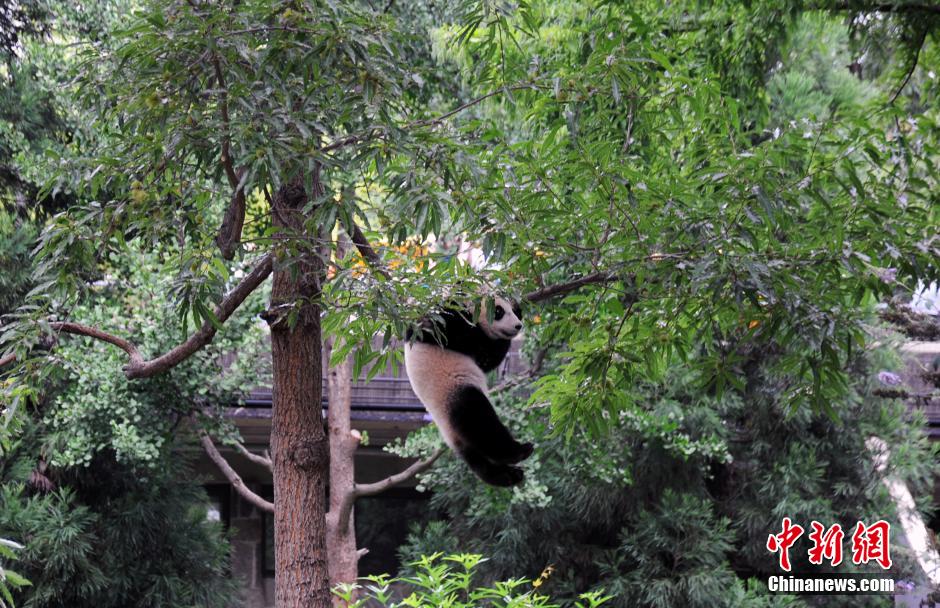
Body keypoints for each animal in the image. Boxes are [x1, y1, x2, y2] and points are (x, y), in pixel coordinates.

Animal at [406, 296, 536, 486]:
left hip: (459, 436)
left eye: (510, 310)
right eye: (499, 311)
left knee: (477, 460)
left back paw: (509, 475)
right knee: (481, 424)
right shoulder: (443, 325)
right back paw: (519, 451)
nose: (518, 326)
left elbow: (486, 360)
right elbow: (475, 342)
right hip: (457, 393)